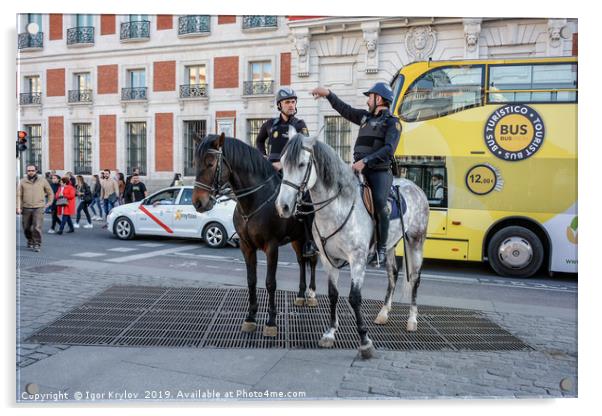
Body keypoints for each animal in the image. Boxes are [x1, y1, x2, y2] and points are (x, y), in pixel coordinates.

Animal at [191, 133, 318, 338]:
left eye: (210, 163)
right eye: (195, 163)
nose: (198, 202)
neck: (253, 201)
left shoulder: (271, 247)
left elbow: (270, 283)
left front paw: (271, 321)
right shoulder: (246, 246)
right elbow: (251, 281)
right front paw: (250, 317)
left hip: (311, 240)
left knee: (312, 261)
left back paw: (312, 294)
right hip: (296, 239)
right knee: (300, 262)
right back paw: (300, 295)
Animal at [274, 128, 428, 360]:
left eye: (301, 164)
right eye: (283, 163)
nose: (282, 207)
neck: (338, 206)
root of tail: (415, 187)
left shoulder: (357, 260)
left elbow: (354, 298)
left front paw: (365, 341)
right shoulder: (328, 260)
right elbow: (333, 295)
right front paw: (330, 333)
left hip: (415, 242)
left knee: (415, 279)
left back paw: (412, 319)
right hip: (390, 246)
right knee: (392, 274)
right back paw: (384, 313)